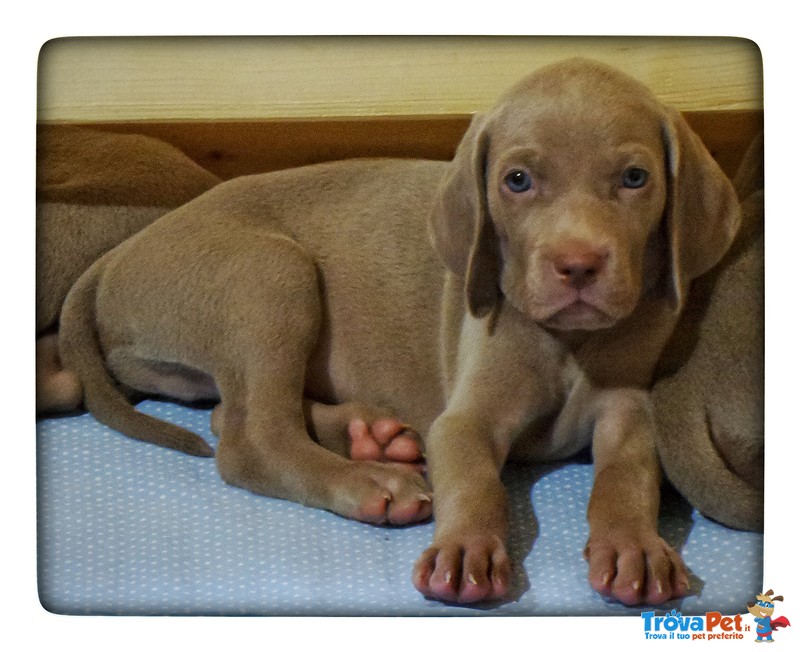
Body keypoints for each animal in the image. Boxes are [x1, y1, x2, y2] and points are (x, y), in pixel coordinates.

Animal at [59, 59, 740, 608]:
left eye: (635, 178)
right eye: (517, 180)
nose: (578, 266)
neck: (566, 343)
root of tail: (117, 256)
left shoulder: (629, 406)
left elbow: (628, 476)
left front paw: (633, 547)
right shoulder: (467, 418)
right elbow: (475, 482)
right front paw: (466, 550)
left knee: (231, 414)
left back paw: (375, 436)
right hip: (271, 274)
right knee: (251, 439)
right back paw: (371, 479)